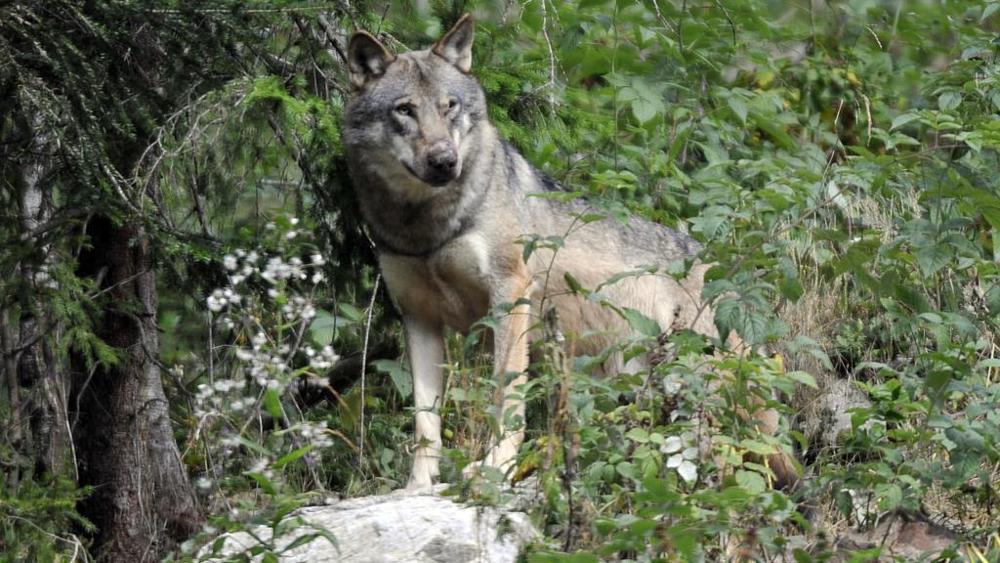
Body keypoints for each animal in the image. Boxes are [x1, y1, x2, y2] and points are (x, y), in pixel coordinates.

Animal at [340, 15, 792, 492]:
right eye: (405, 110)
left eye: (450, 107)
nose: (445, 161)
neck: (427, 224)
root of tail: (730, 278)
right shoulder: (418, 316)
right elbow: (425, 420)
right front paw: (418, 487)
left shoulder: (510, 294)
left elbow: (506, 393)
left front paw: (495, 467)